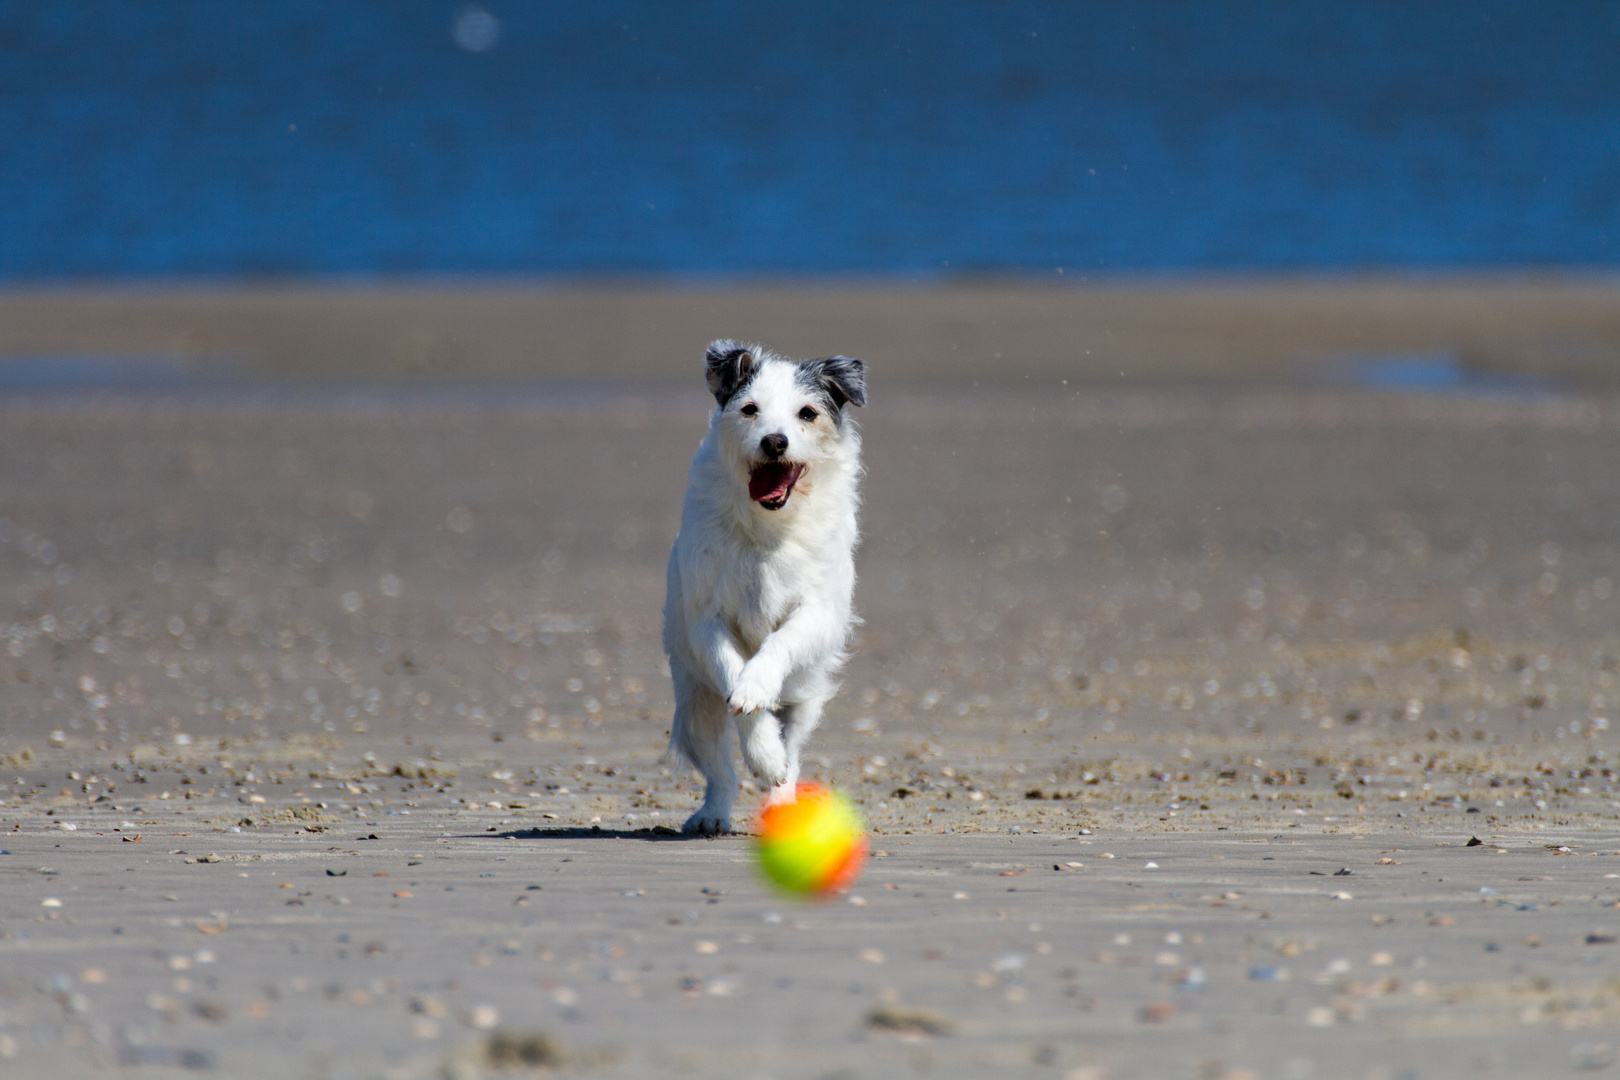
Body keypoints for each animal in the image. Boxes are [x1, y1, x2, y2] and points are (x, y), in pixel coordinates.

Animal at [660, 340, 868, 835]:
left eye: (807, 413)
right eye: (750, 409)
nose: (775, 441)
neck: (767, 527)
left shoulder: (816, 613)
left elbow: (777, 644)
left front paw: (757, 689)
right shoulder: (706, 621)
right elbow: (734, 671)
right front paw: (758, 735)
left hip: (803, 703)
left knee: (791, 759)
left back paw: (781, 800)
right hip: (695, 708)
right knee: (721, 771)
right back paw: (713, 813)